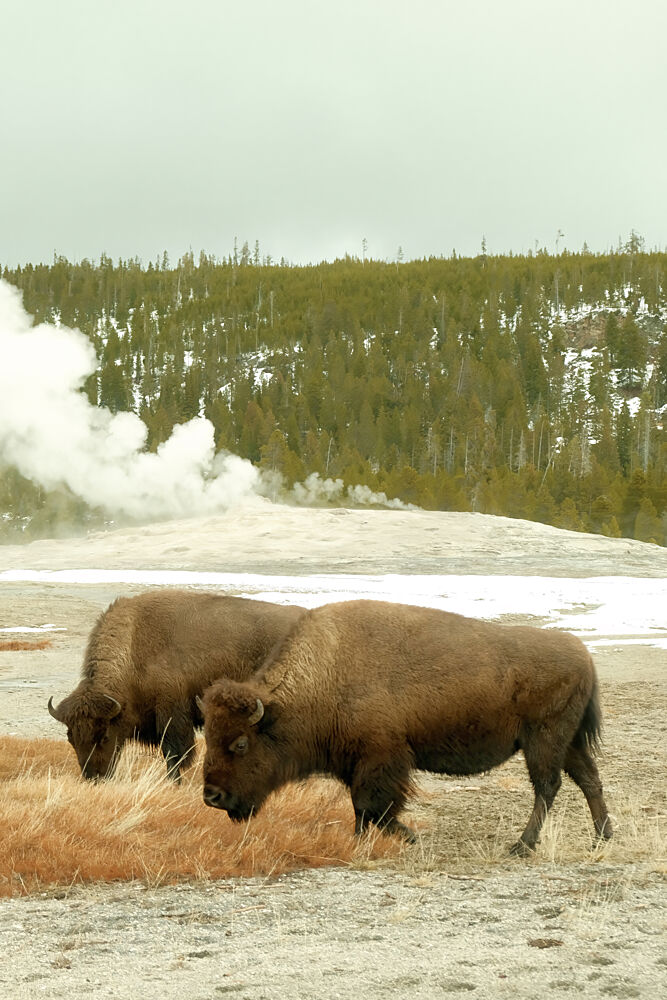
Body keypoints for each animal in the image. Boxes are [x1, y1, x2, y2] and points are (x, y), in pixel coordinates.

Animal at [48, 590, 303, 781]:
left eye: (103, 735)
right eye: (71, 738)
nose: (94, 777)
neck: (133, 648)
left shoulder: (172, 714)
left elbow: (173, 753)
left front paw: (174, 782)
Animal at [200, 599, 612, 854]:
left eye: (240, 743)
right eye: (210, 737)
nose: (212, 796)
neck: (326, 672)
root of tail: (583, 654)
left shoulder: (383, 758)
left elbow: (372, 806)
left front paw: (406, 838)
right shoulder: (358, 762)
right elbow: (363, 809)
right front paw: (369, 840)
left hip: (543, 739)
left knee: (548, 787)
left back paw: (522, 846)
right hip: (567, 742)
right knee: (588, 779)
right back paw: (602, 837)